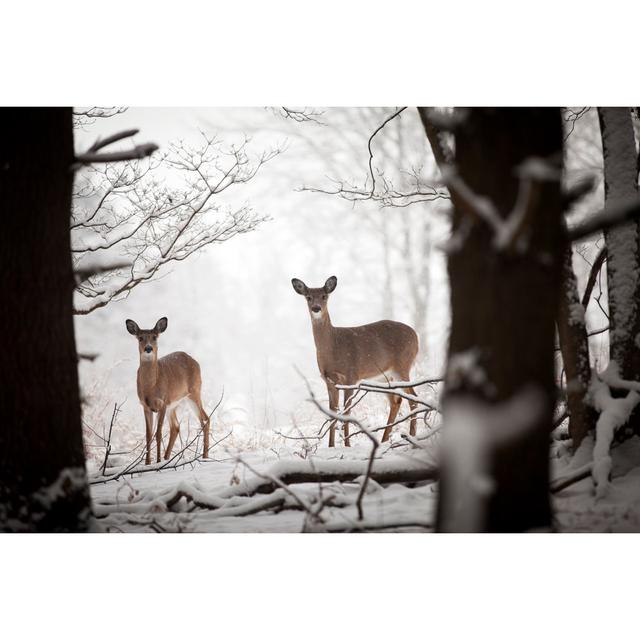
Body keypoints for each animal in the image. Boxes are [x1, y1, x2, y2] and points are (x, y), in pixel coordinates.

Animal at [126, 316, 211, 462]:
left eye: (155, 337)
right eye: (140, 338)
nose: (148, 348)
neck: (151, 387)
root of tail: (193, 360)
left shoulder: (163, 402)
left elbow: (158, 433)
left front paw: (157, 461)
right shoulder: (145, 405)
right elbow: (148, 435)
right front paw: (148, 463)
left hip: (194, 391)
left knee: (205, 420)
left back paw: (205, 457)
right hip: (175, 403)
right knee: (176, 427)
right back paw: (167, 458)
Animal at [290, 276, 420, 444]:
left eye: (324, 296)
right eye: (308, 297)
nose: (316, 308)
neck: (334, 347)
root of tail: (416, 336)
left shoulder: (351, 376)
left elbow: (347, 412)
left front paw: (347, 445)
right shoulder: (329, 381)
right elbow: (333, 412)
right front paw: (331, 446)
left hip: (402, 366)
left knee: (413, 398)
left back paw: (412, 439)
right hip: (384, 377)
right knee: (396, 401)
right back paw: (384, 440)